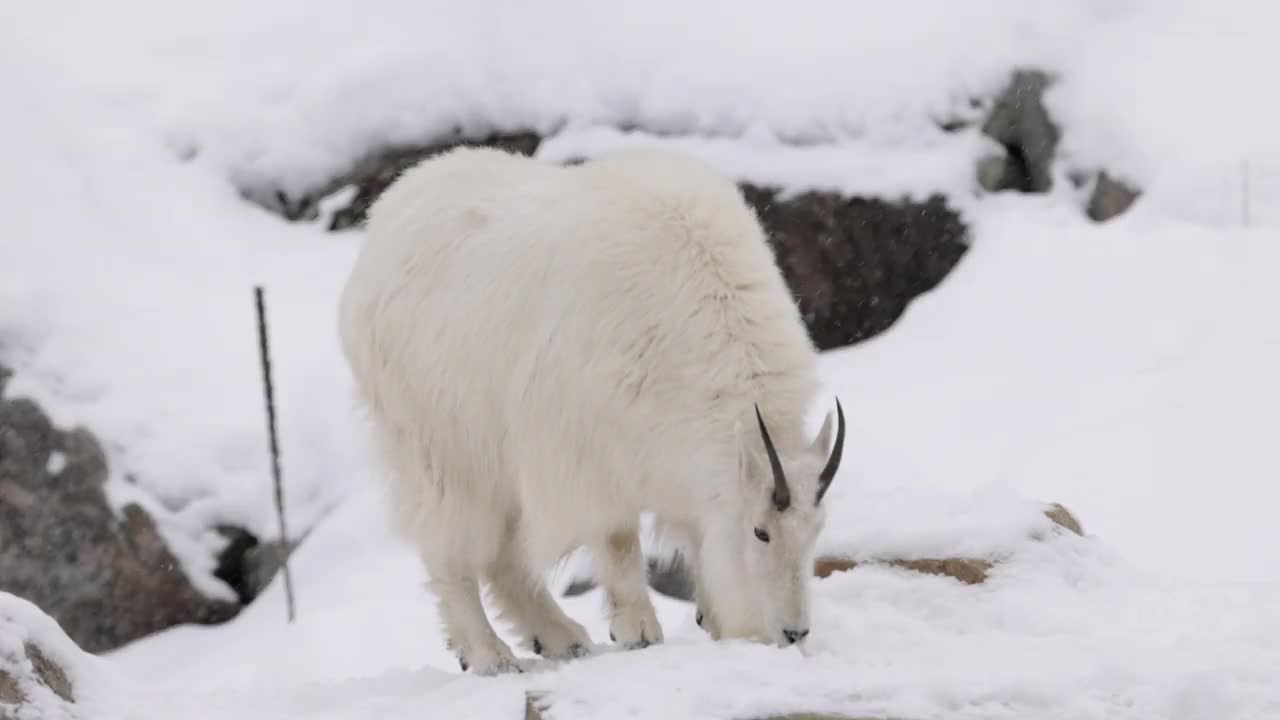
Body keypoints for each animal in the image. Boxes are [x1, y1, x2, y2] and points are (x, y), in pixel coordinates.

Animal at [335, 146, 844, 671]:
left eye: (817, 529)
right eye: (761, 532)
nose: (793, 632)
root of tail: (380, 227)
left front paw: (713, 619)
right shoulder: (590, 460)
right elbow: (618, 539)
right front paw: (638, 631)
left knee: (502, 557)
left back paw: (560, 637)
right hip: (442, 448)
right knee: (450, 550)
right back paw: (488, 654)